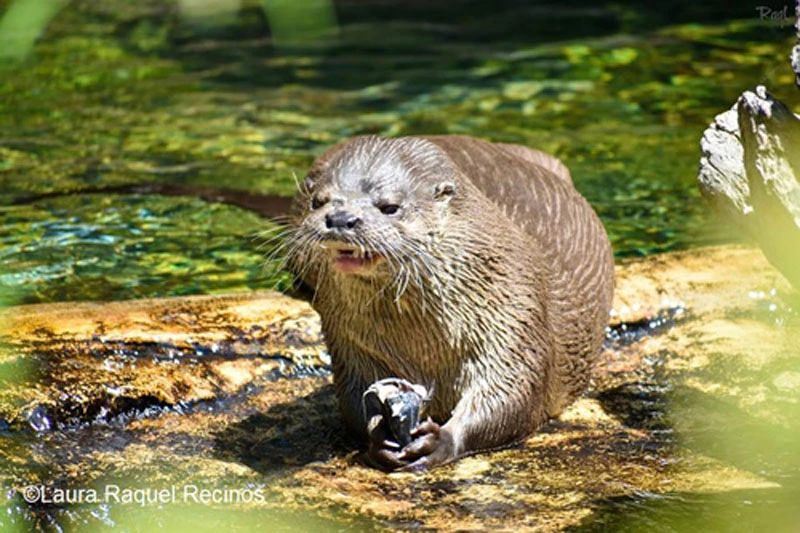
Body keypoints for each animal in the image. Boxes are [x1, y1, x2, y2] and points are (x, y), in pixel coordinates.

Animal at [284, 134, 616, 470]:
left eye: (389, 207)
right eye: (318, 201)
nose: (340, 218)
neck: (424, 348)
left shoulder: (517, 317)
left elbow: (512, 395)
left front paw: (442, 440)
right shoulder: (350, 346)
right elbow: (352, 400)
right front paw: (378, 436)